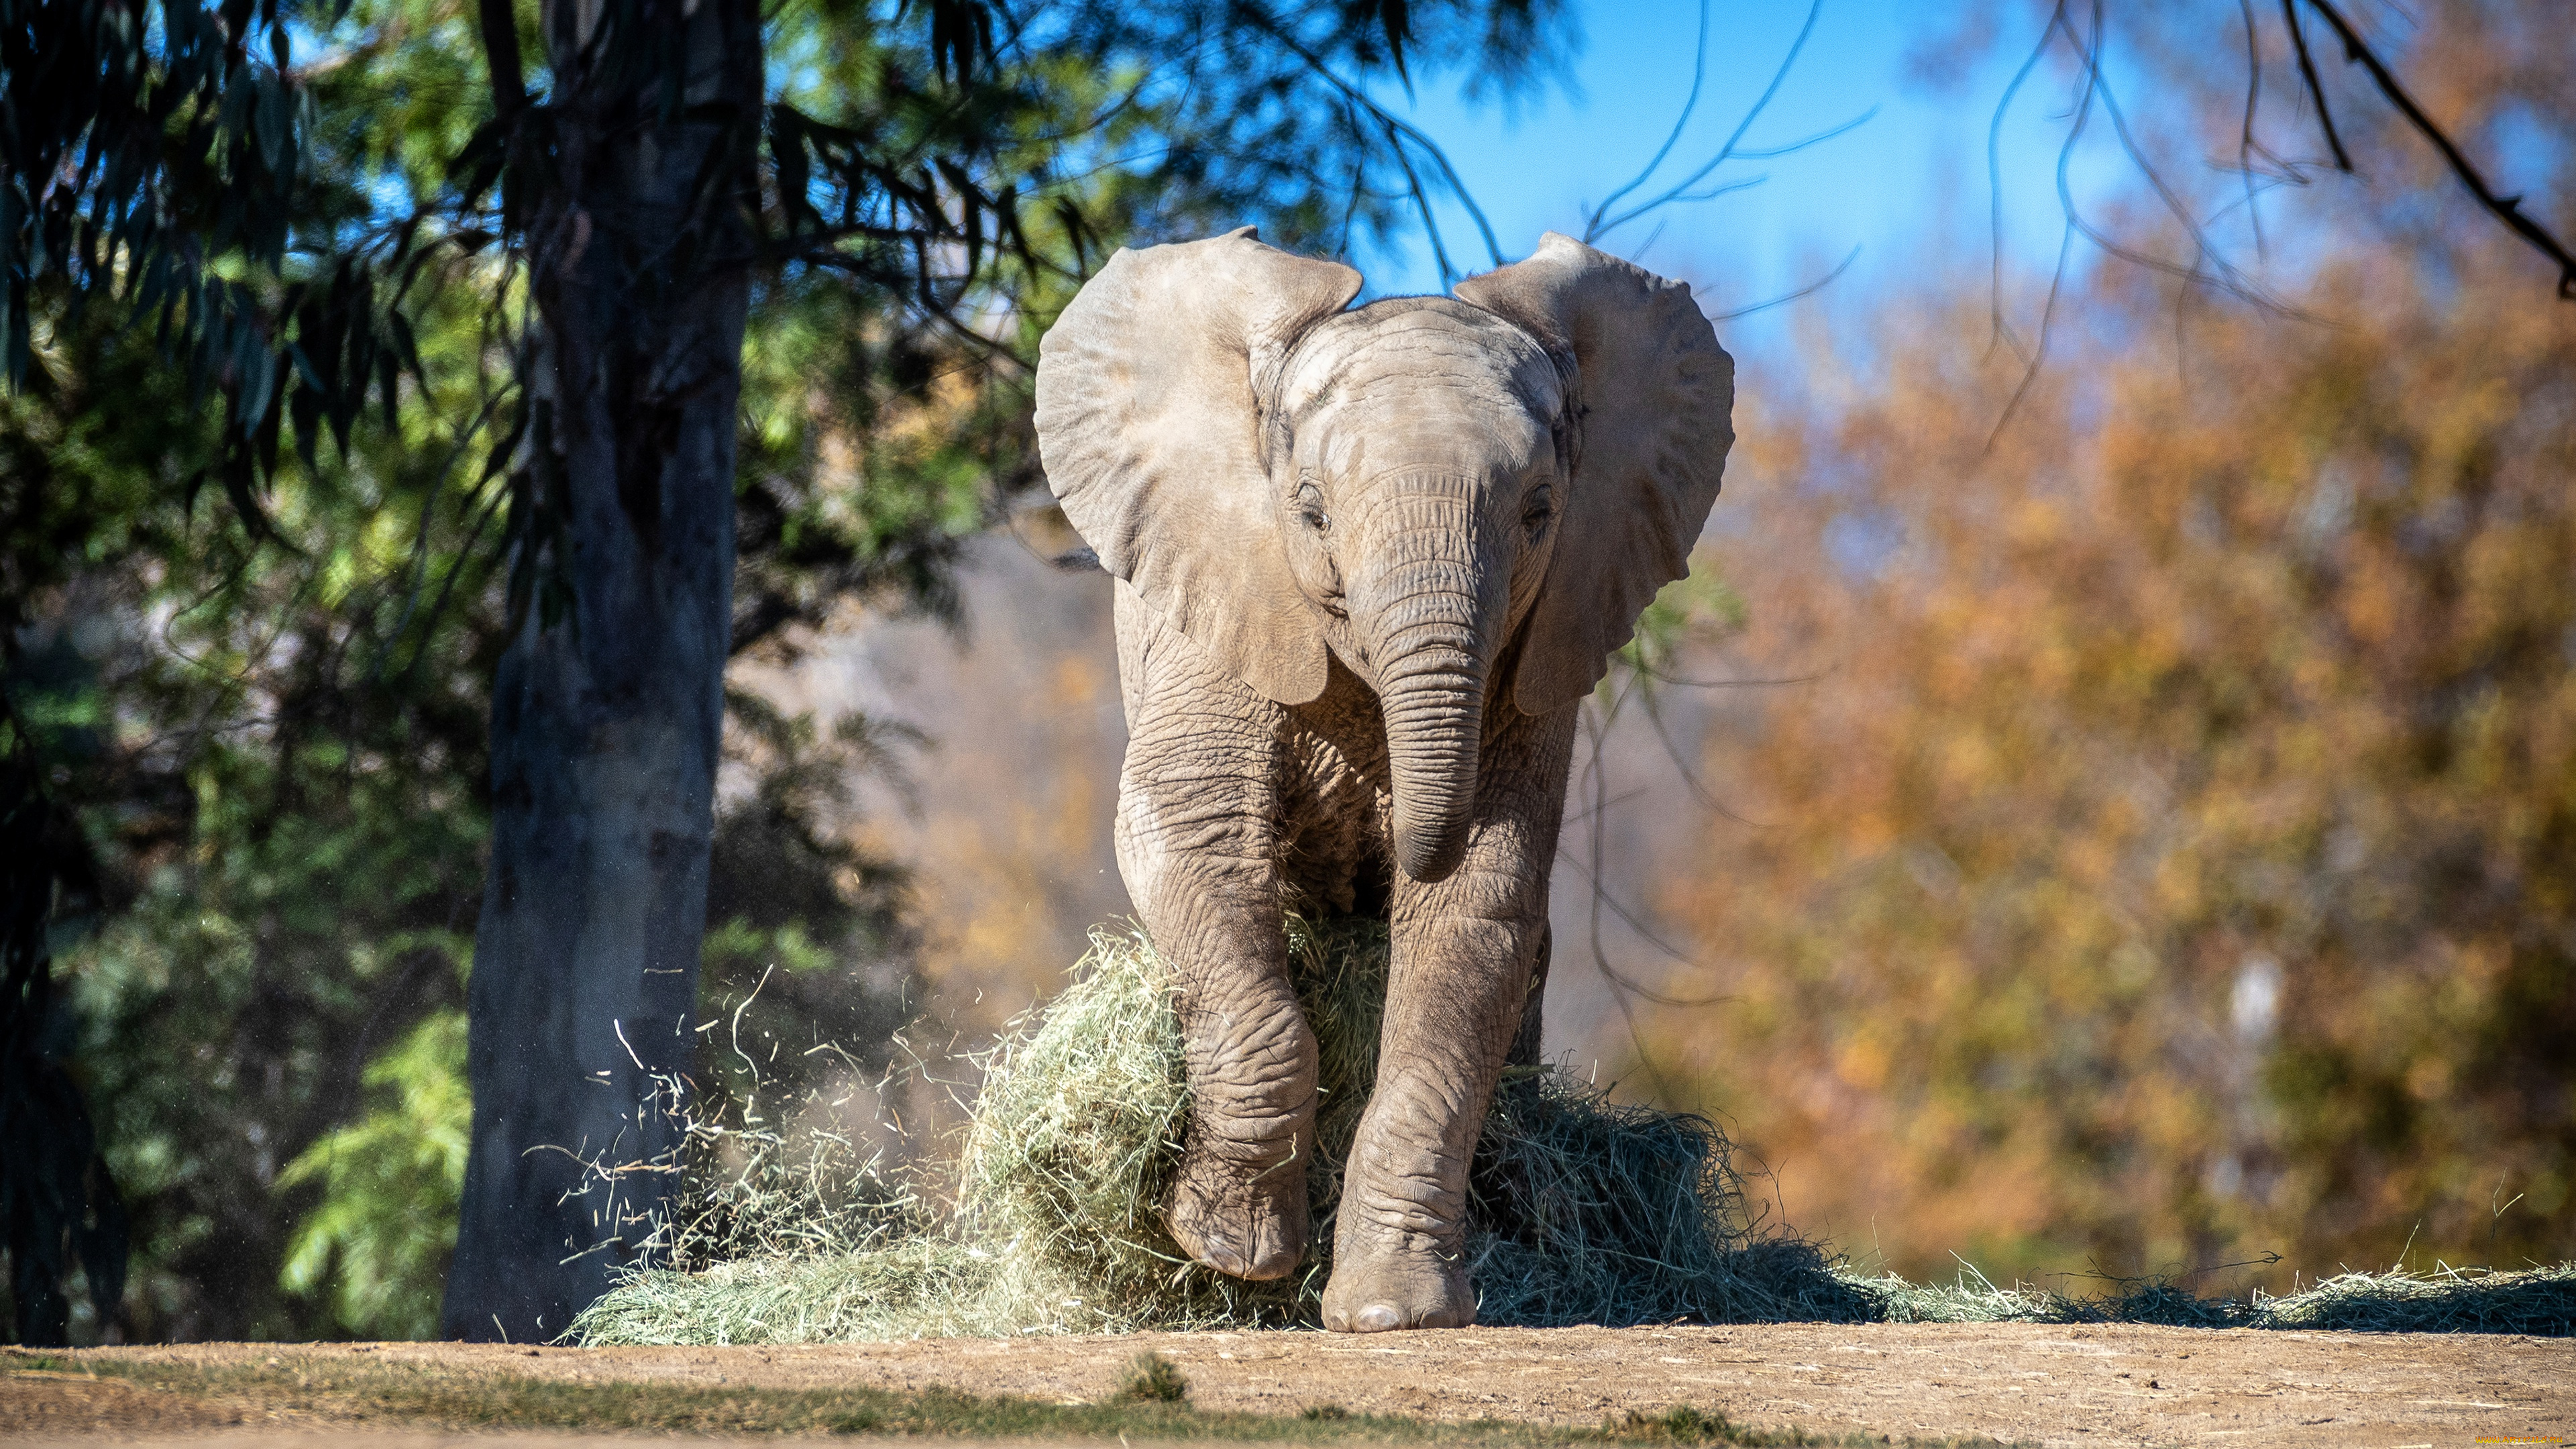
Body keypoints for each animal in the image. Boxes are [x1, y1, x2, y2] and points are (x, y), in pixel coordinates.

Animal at [1025, 228, 1731, 1330]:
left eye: (1540, 512)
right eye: (1310, 510)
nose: (1388, 834)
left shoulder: (1534, 660)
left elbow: (1477, 907)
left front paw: (1396, 1313)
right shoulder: (1222, 599)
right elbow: (1195, 839)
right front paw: (1229, 1253)